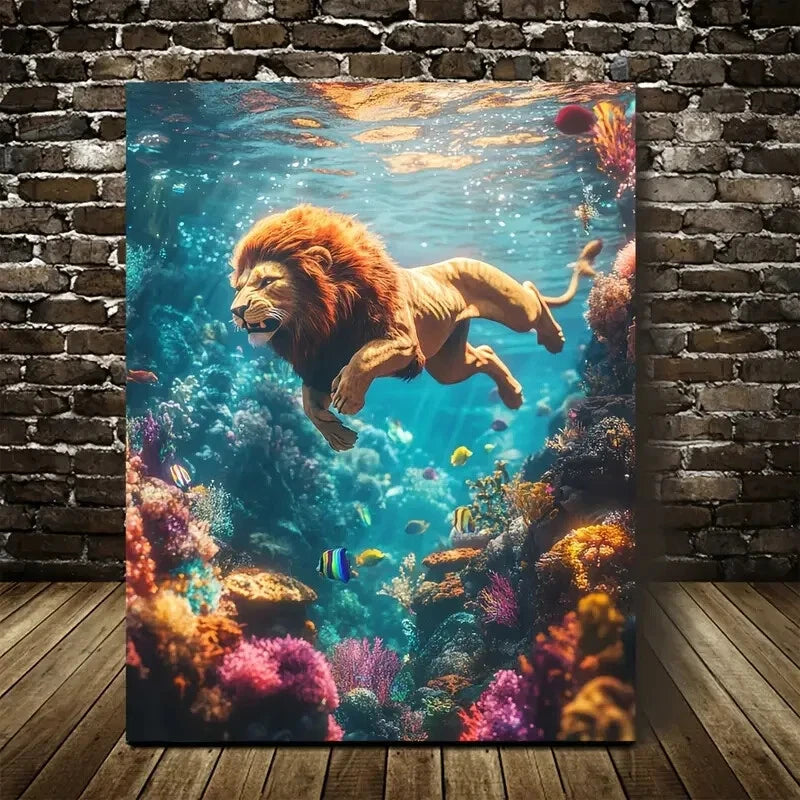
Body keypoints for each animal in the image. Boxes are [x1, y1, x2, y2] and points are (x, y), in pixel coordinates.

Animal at [230, 205, 600, 452]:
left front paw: (348, 397)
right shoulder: (317, 364)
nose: (235, 310)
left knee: (532, 297)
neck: (318, 321)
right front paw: (338, 436)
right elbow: (308, 405)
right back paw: (513, 395)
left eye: (266, 282)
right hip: (448, 364)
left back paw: (554, 338)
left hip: (510, 305)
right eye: (239, 286)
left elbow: (363, 358)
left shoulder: (403, 342)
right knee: (485, 353)